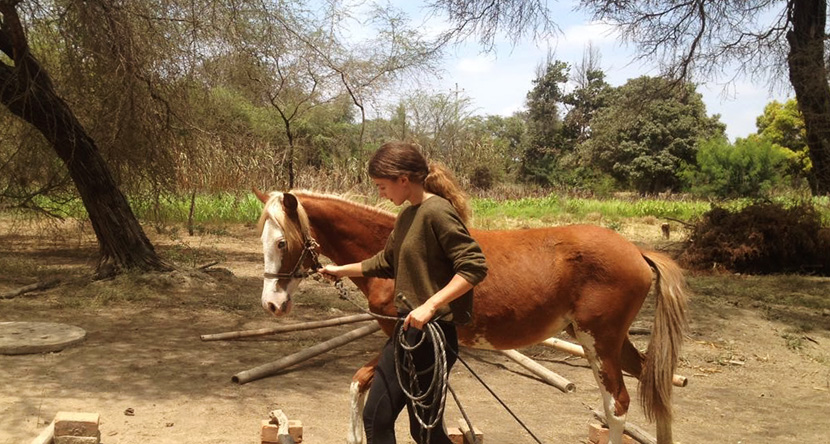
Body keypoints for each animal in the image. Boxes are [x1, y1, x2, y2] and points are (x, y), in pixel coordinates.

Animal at [256, 190, 692, 444]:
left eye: (282, 242)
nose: (273, 304)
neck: (392, 256)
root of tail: (637, 250)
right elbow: (357, 384)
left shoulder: (404, 338)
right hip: (612, 342)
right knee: (654, 384)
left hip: (598, 341)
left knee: (617, 403)